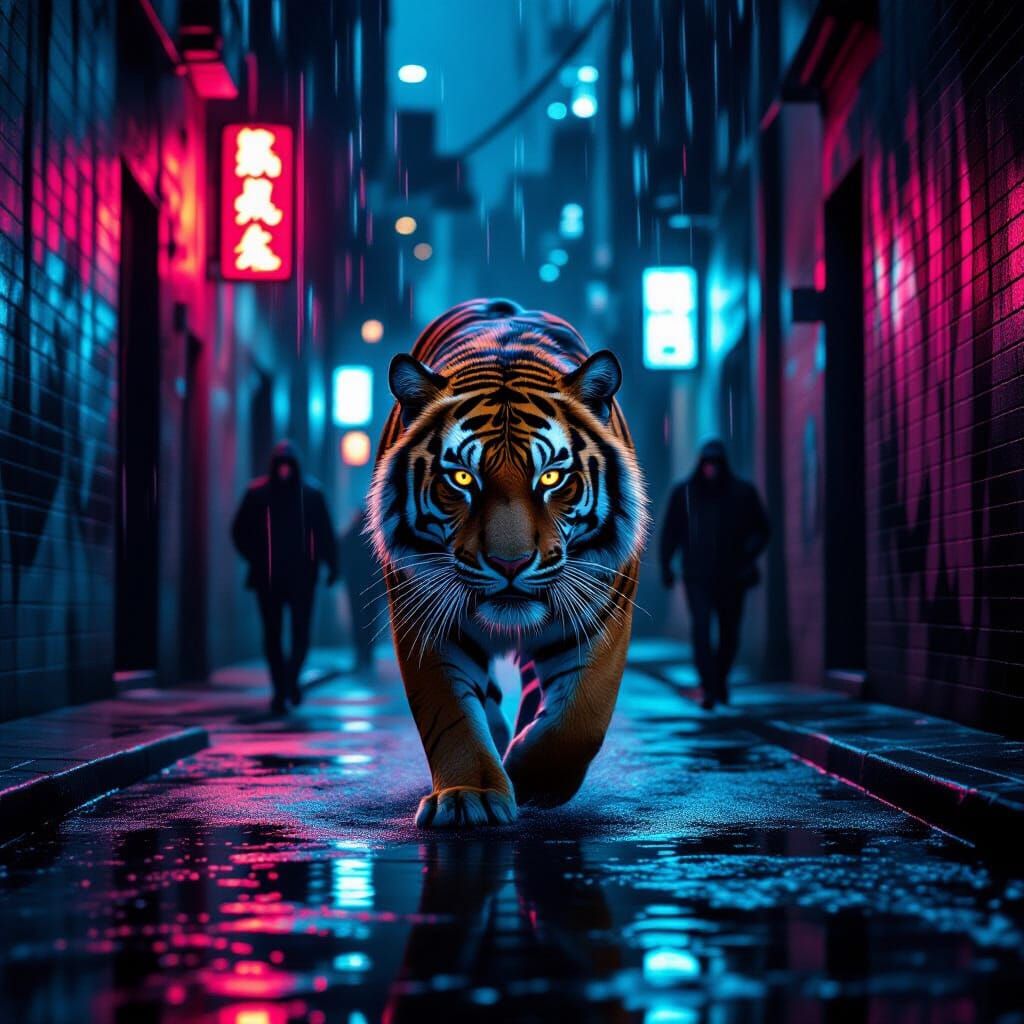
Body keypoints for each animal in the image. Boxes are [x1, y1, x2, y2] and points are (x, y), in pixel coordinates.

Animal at [367, 298, 648, 827]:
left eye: (552, 477)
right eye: (461, 478)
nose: (509, 564)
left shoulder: (603, 612)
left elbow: (578, 721)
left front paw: (534, 779)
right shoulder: (425, 616)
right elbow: (451, 715)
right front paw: (470, 795)